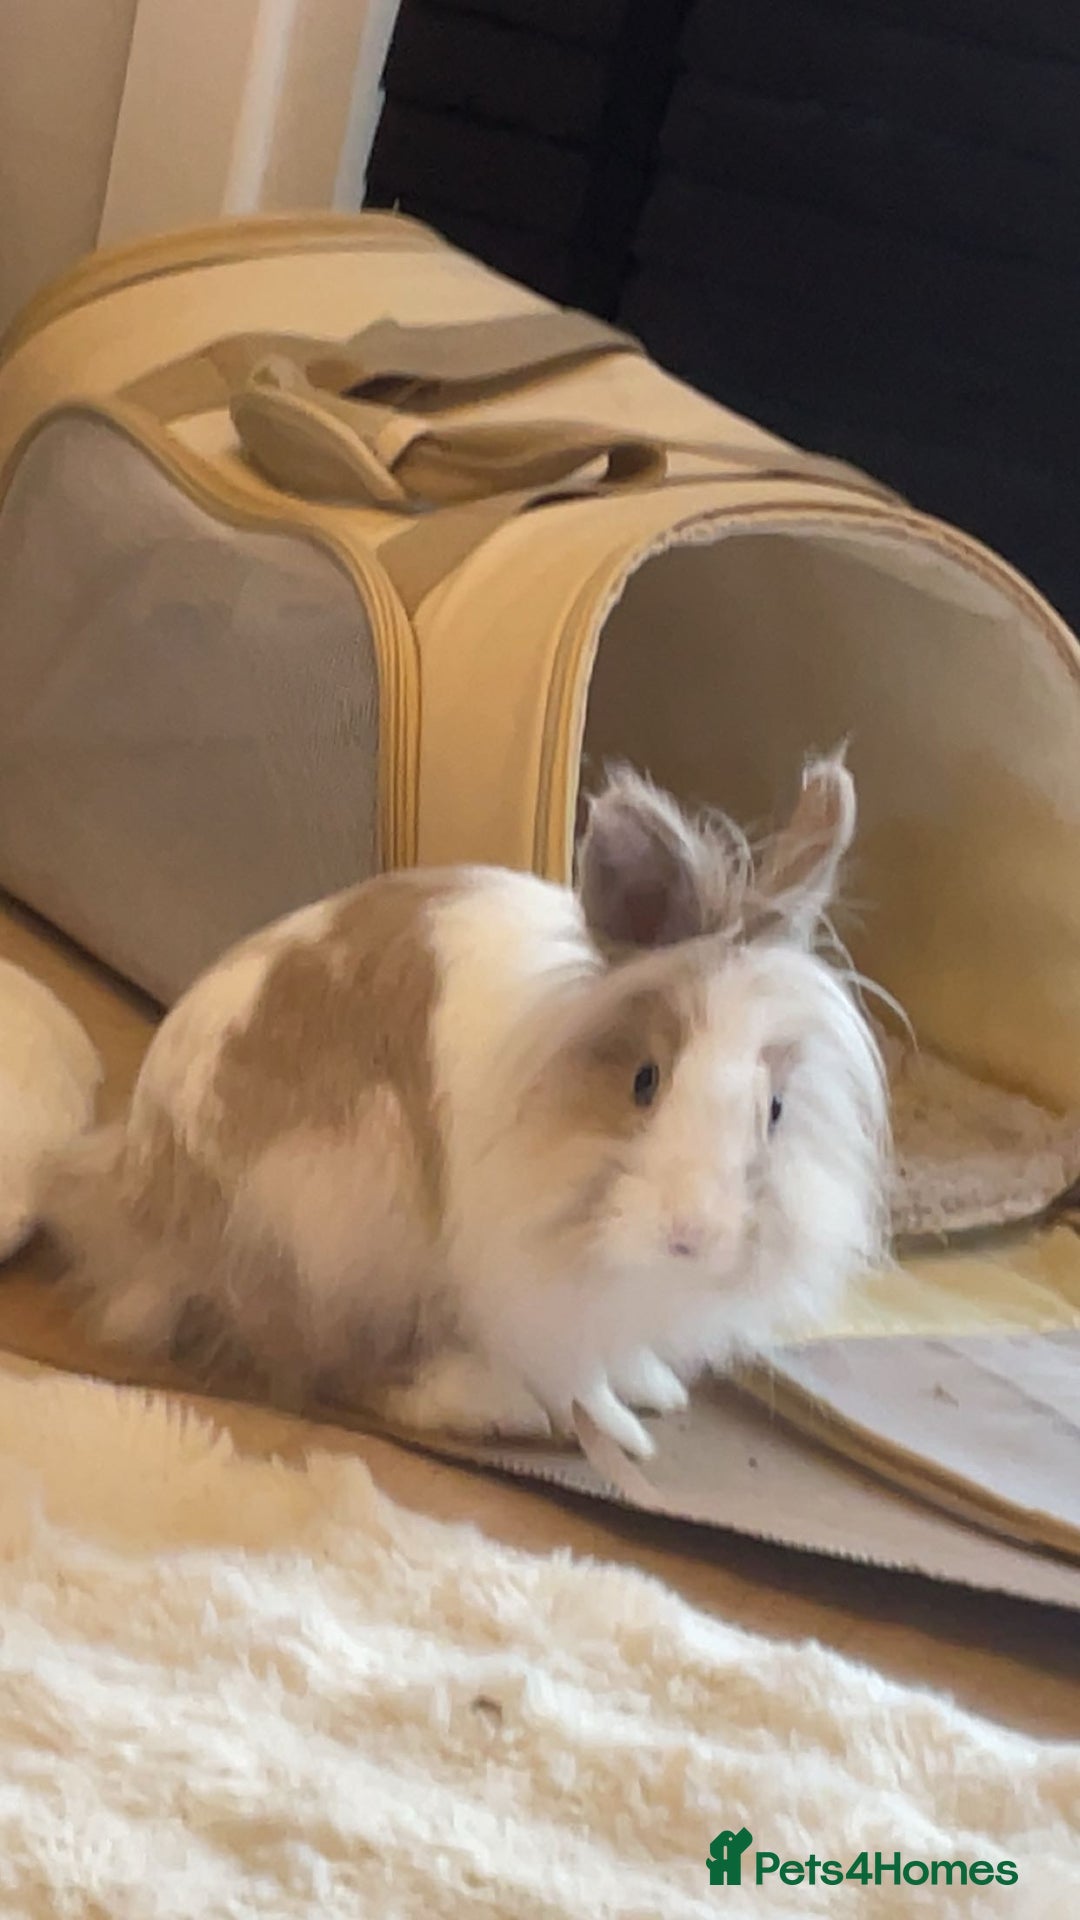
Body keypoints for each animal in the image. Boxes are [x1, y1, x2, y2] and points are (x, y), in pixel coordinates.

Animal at [39, 754, 888, 1459]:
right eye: (644, 1081)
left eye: (775, 1110)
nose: (693, 1236)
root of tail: (138, 1209)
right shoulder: (528, 1284)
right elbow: (577, 1375)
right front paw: (623, 1433)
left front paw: (656, 1387)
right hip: (340, 1220)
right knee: (335, 1366)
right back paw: (491, 1405)